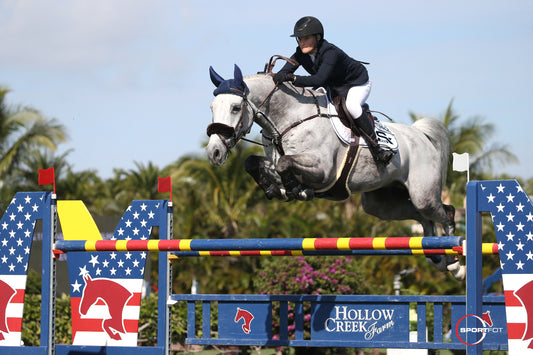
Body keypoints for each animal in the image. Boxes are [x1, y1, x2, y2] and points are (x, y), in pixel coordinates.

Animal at [206, 64, 464, 280]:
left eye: (235, 107)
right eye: (212, 107)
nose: (213, 153)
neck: (289, 120)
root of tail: (421, 136)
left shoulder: (323, 171)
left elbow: (285, 164)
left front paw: (295, 189)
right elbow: (254, 162)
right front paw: (274, 188)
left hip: (423, 194)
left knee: (446, 212)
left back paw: (455, 264)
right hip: (381, 204)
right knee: (422, 218)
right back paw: (438, 258)